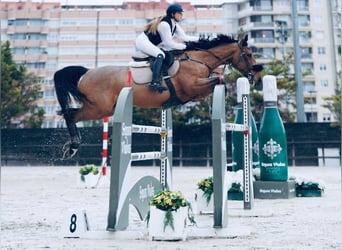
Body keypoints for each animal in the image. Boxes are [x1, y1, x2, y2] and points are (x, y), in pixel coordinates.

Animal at [53, 33, 264, 158]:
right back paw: (73, 146)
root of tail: (87, 72)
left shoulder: (195, 92)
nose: (259, 78)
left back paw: (70, 145)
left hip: (100, 108)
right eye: (249, 54)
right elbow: (220, 83)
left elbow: (217, 83)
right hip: (99, 108)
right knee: (70, 114)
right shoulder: (193, 87)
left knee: (69, 113)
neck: (199, 60)